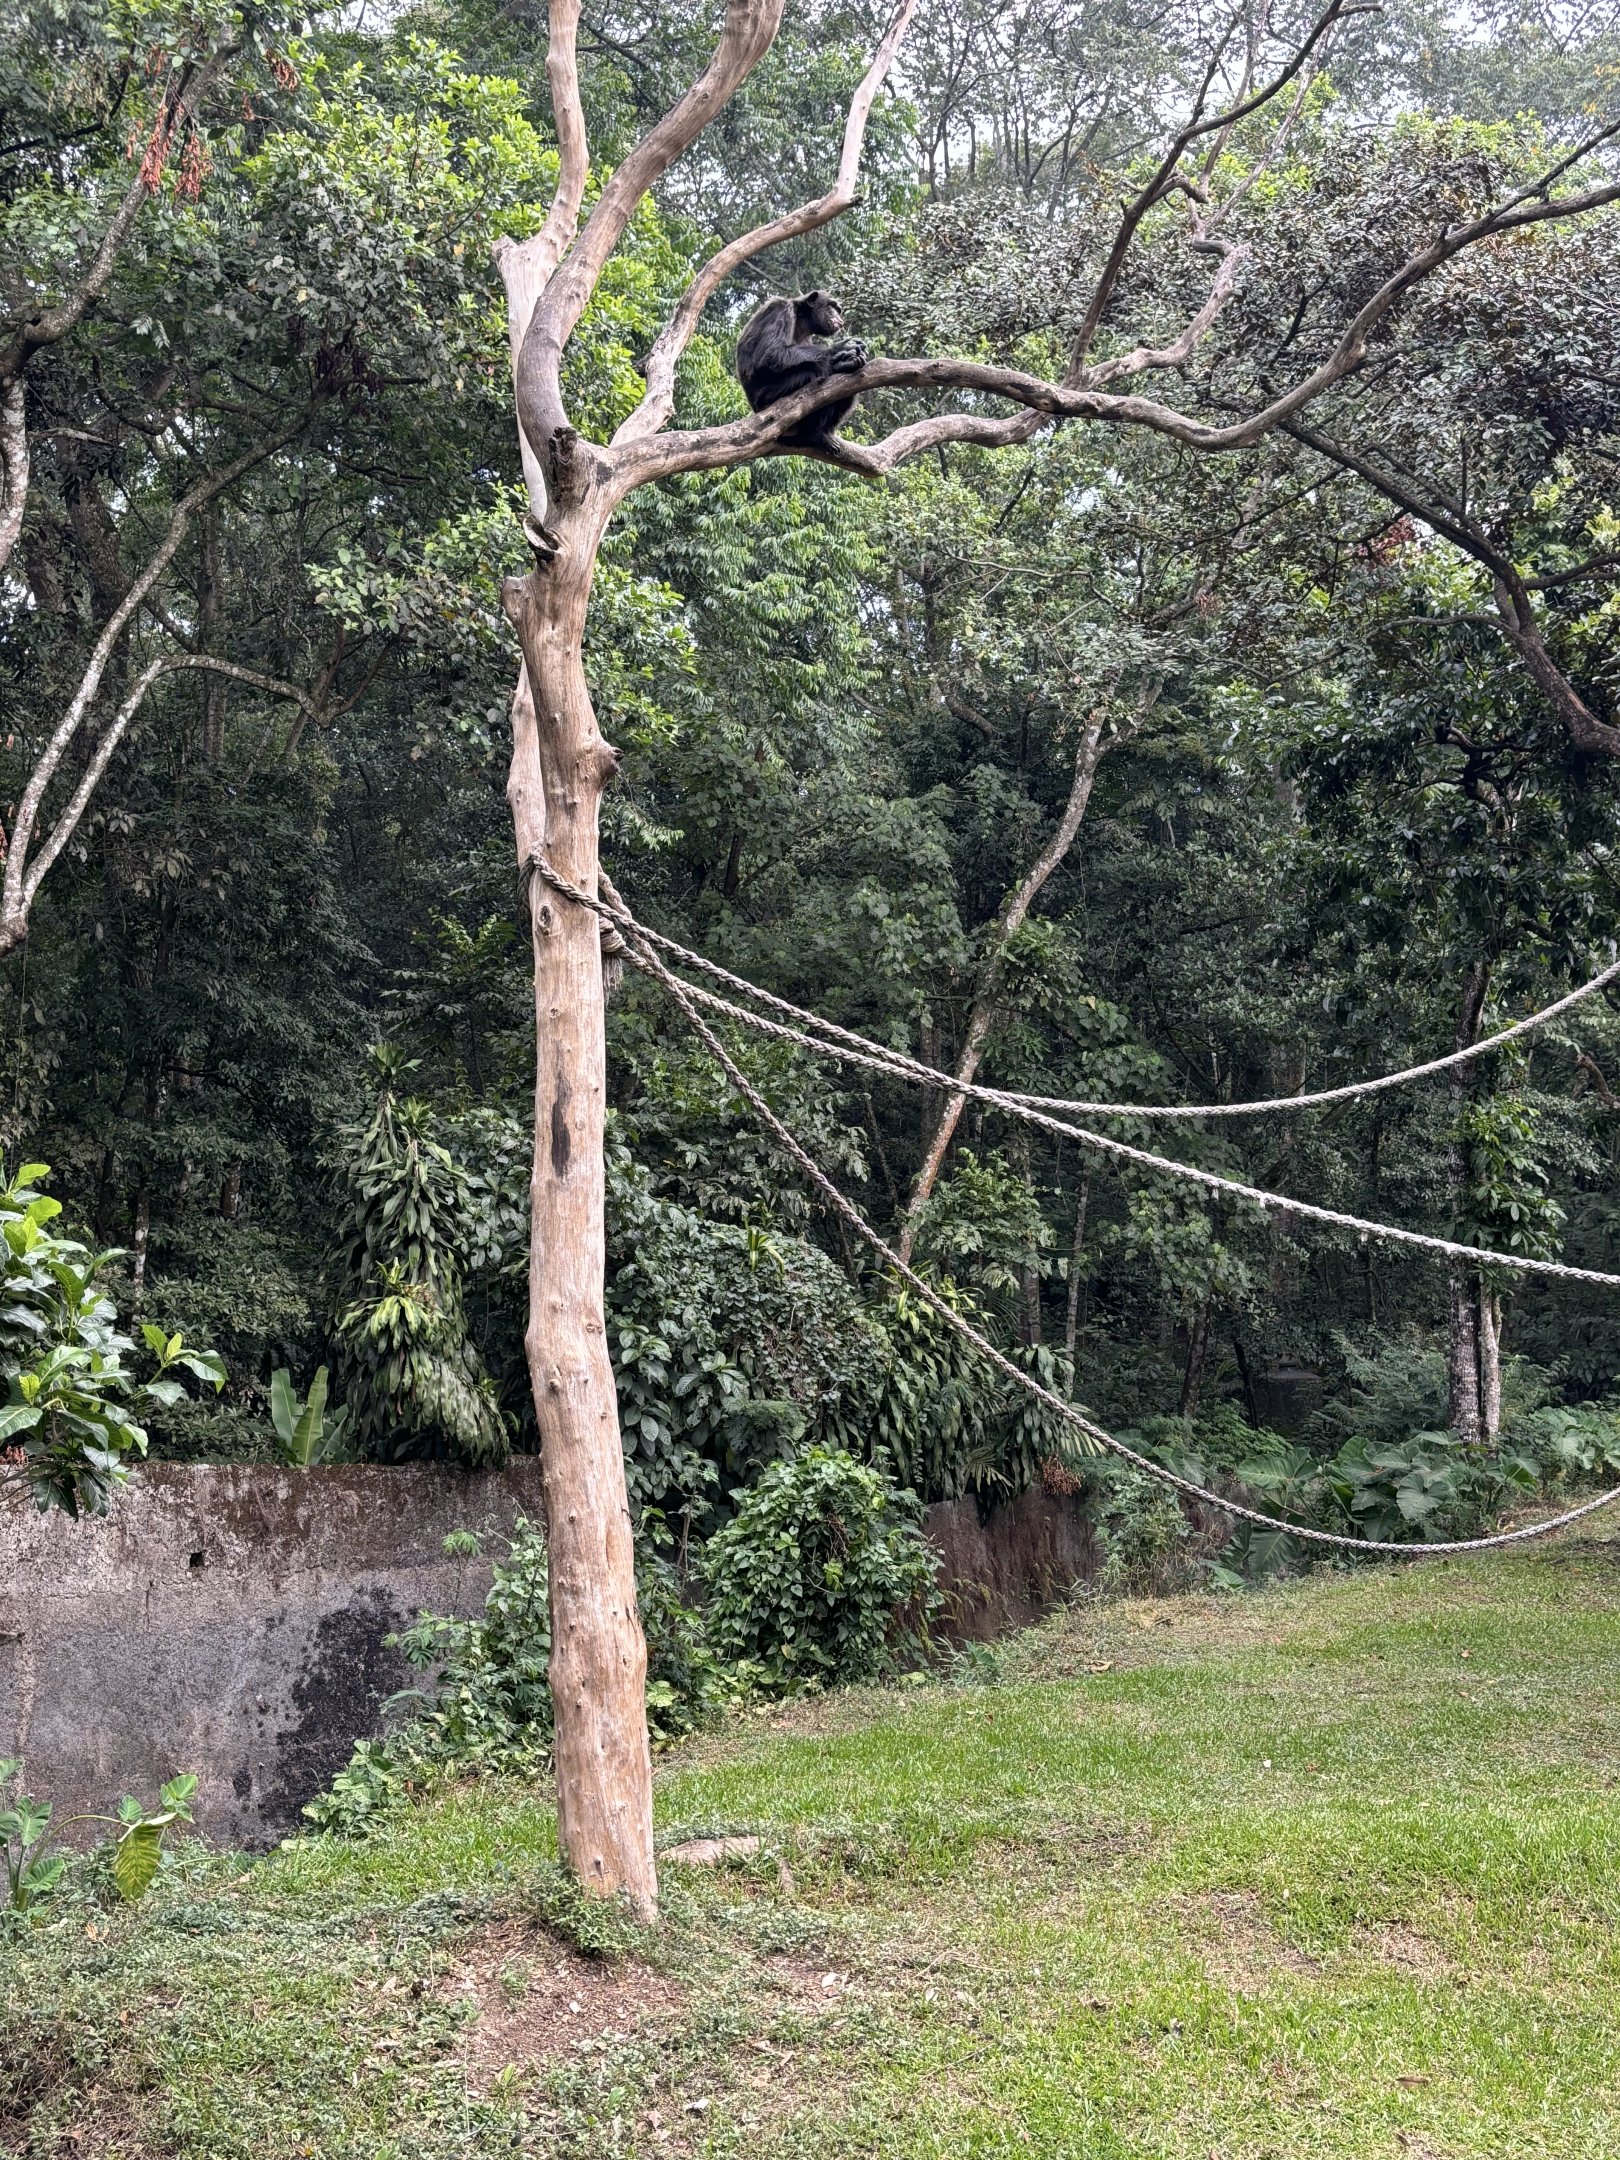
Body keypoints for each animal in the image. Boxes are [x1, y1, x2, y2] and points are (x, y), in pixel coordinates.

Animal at [734, 290, 869, 457]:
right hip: (766, 403)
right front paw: (841, 349)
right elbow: (772, 352)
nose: (838, 318)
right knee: (813, 373)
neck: (802, 319)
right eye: (830, 306)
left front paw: (844, 360)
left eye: (838, 309)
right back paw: (814, 435)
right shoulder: (781, 310)